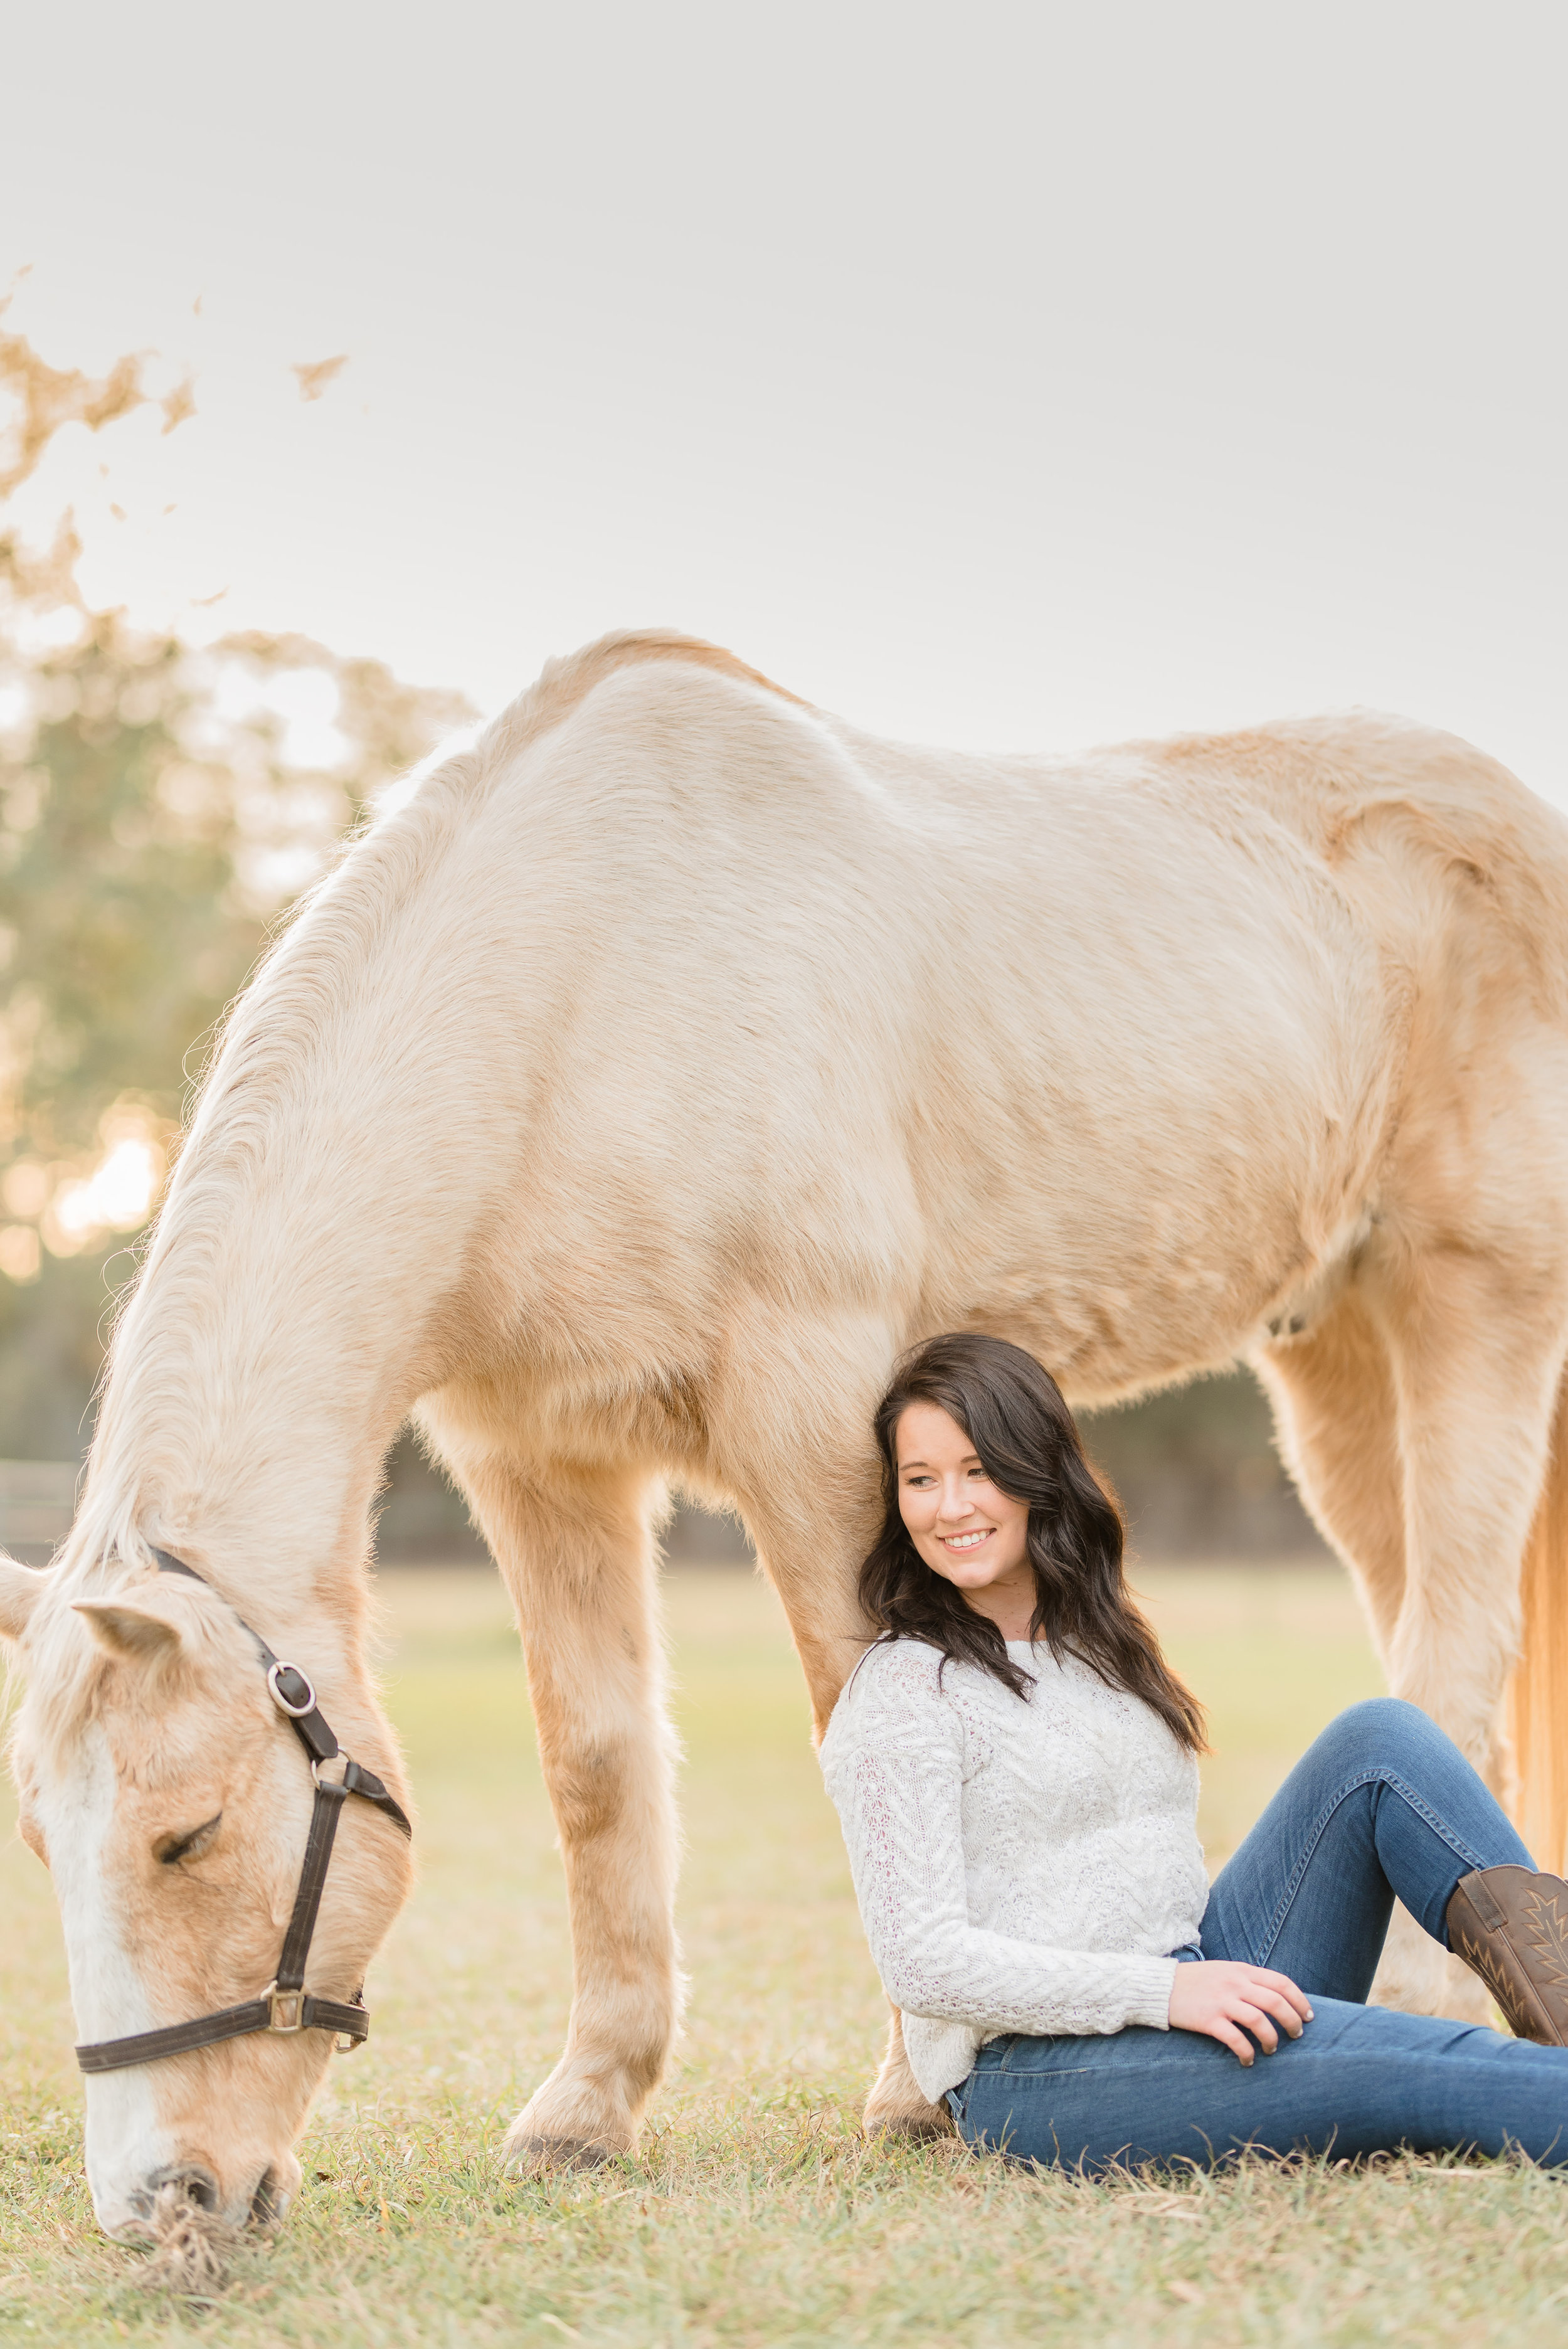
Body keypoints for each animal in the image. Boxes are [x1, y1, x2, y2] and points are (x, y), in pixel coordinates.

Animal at [3, 629, 1566, 2239]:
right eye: (47, 1845)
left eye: (185, 1834)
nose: (163, 2203)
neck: (586, 984)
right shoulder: (539, 1458)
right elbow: (597, 1765)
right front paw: (589, 2106)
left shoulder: (812, 1404)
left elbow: (855, 1700)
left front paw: (910, 2095)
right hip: (1336, 1369)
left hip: (1475, 1304)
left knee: (1454, 1646)